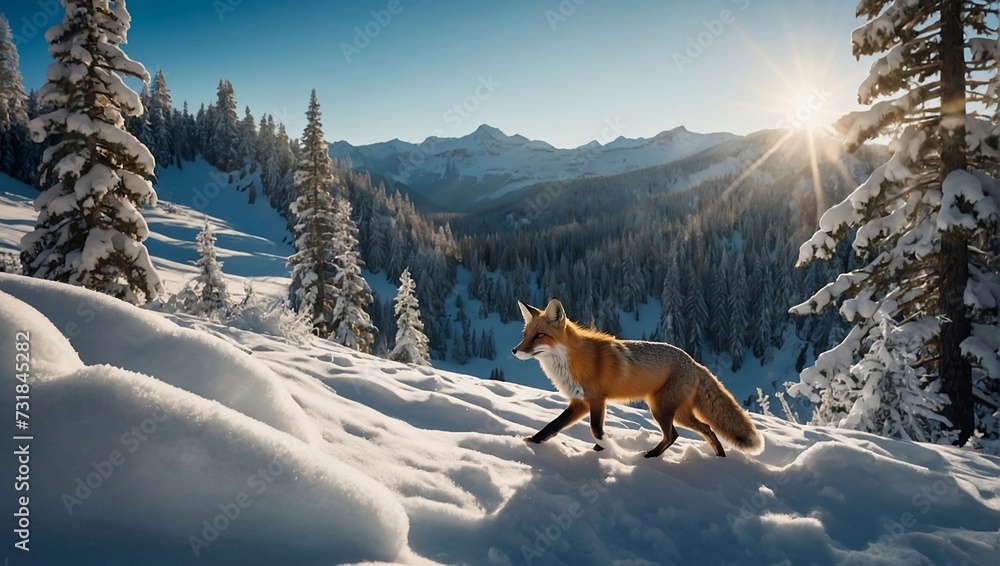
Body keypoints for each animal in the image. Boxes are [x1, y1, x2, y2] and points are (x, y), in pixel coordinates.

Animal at [512, 298, 763, 458]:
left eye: (540, 335)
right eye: (525, 335)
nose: (515, 351)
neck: (572, 362)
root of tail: (695, 363)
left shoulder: (596, 400)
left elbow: (596, 430)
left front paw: (607, 449)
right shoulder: (579, 403)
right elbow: (552, 426)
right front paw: (531, 442)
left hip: (661, 409)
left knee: (673, 435)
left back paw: (651, 455)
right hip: (679, 413)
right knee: (707, 429)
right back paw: (720, 457)